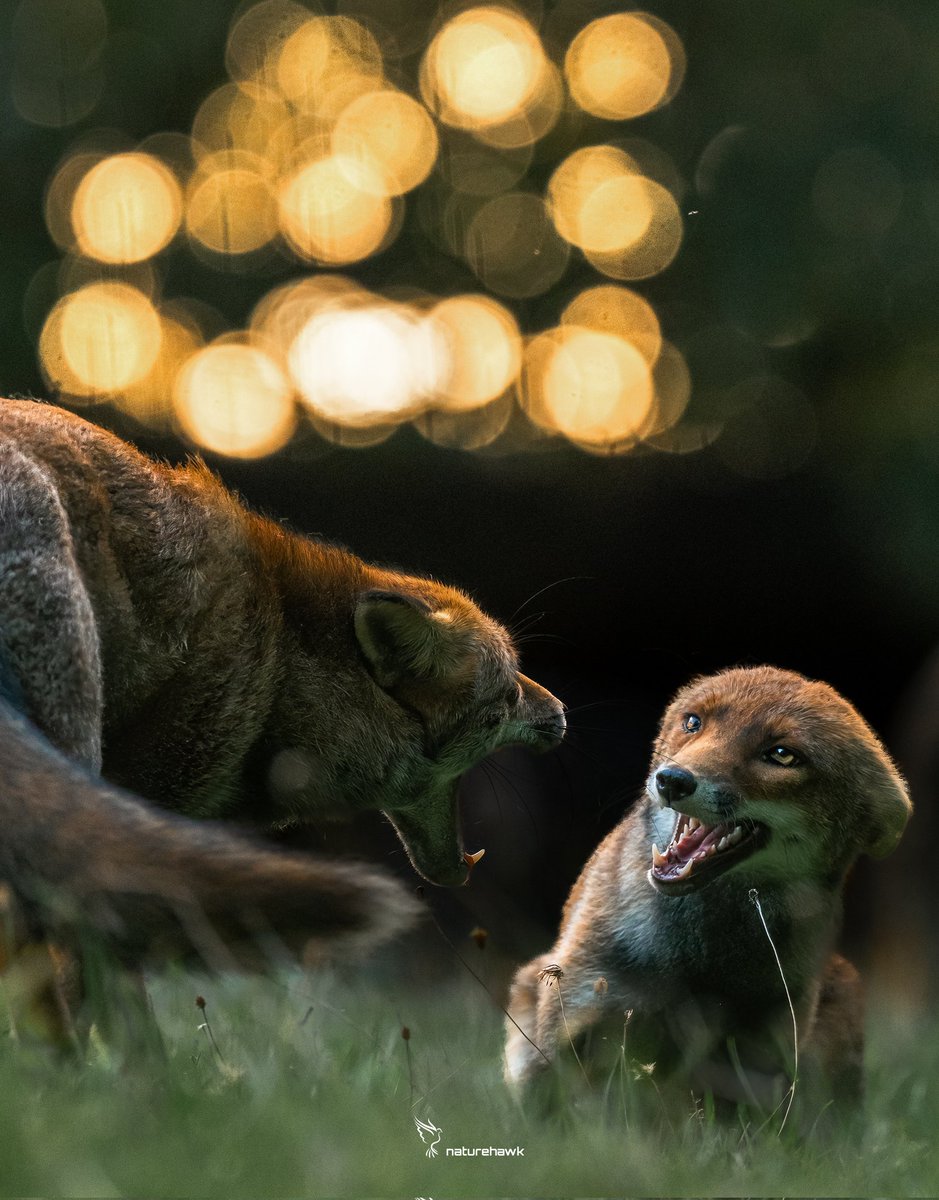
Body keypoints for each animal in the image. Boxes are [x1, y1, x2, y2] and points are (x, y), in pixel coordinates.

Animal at [506, 667, 912, 1113]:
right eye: (693, 722)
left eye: (782, 754)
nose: (671, 780)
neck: (698, 961)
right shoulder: (578, 1015)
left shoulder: (757, 1055)